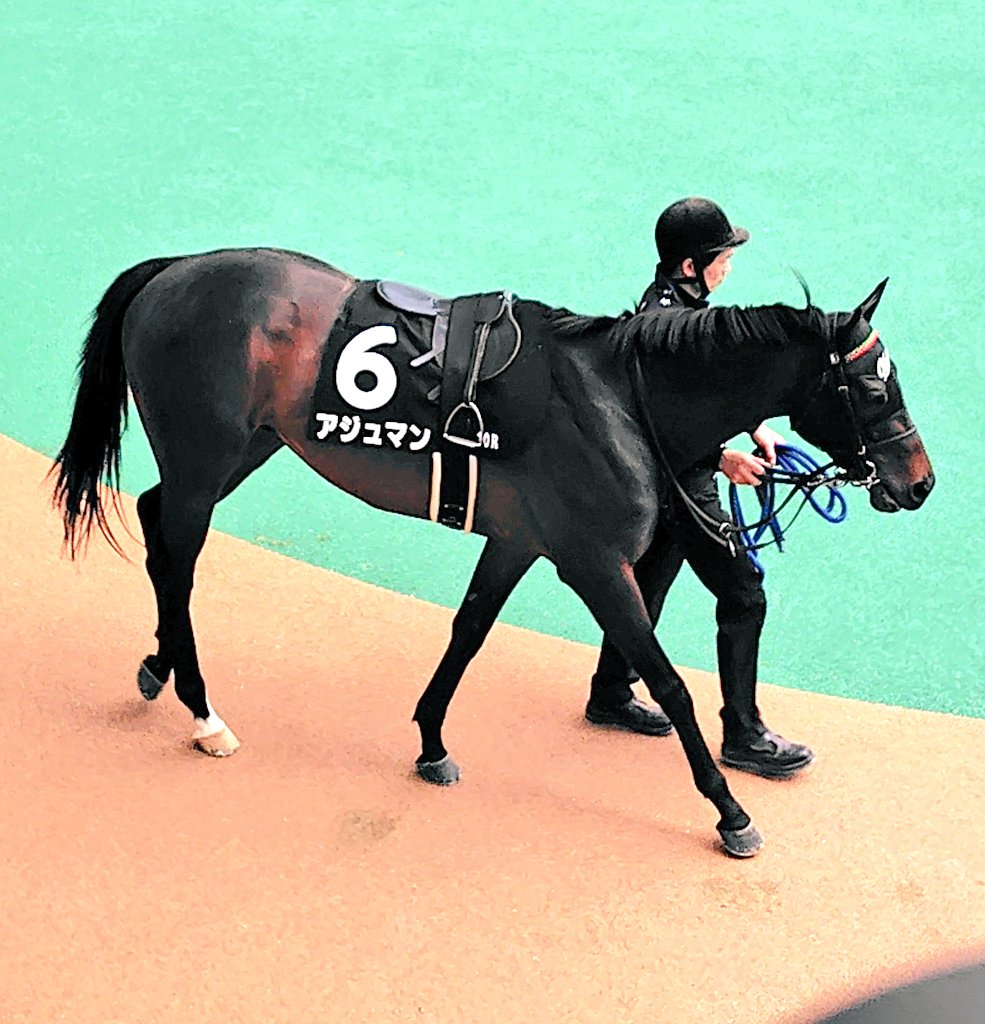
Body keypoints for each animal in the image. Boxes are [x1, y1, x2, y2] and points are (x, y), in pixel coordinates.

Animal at [51, 247, 934, 858]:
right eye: (871, 386)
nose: (919, 481)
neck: (619, 396)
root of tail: (172, 272)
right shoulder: (591, 562)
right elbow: (669, 682)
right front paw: (729, 811)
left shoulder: (514, 541)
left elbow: (467, 634)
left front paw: (431, 744)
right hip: (207, 455)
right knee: (179, 556)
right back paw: (203, 710)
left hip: (245, 447)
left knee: (159, 524)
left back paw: (158, 667)